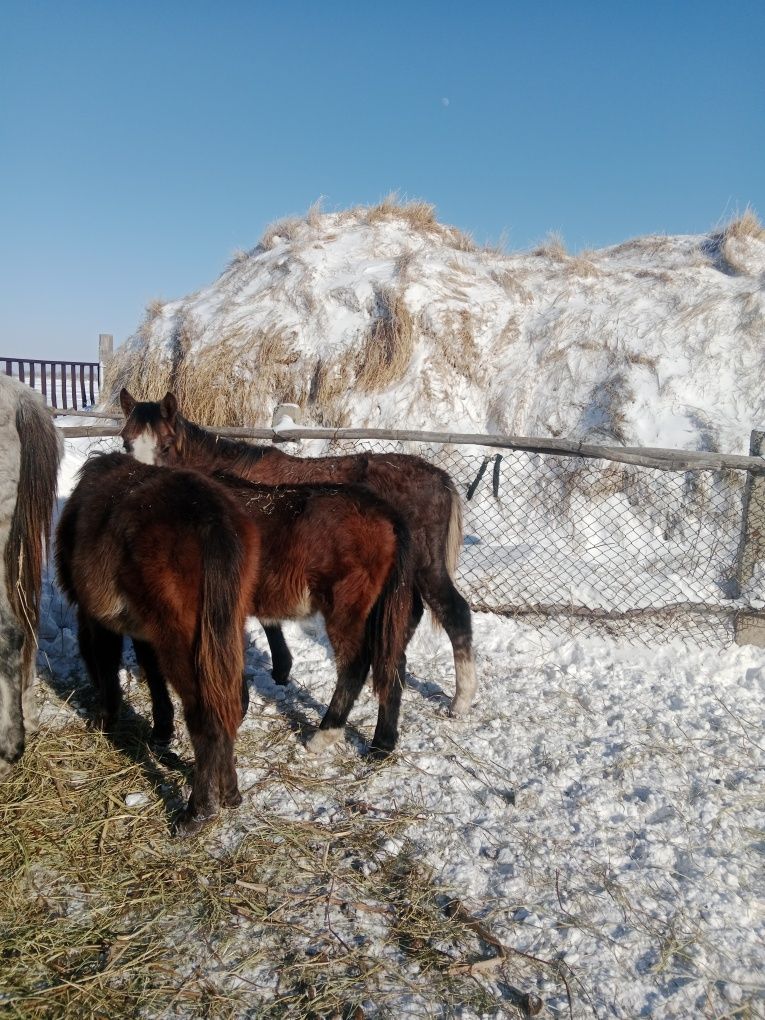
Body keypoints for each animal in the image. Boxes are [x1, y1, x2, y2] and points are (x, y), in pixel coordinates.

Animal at [56, 450, 259, 832]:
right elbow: (151, 671)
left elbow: (108, 664)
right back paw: (229, 792)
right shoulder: (146, 630)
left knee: (206, 716)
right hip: (223, 632)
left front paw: (105, 720)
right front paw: (161, 731)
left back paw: (196, 812)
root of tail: (210, 517)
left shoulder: (100, 623)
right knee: (231, 702)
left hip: (185, 642)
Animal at [119, 389, 477, 718]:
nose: (142, 497)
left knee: (455, 614)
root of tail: (442, 479)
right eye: (125, 443)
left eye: (166, 445)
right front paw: (281, 669)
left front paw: (280, 668)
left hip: (426, 568)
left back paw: (460, 702)